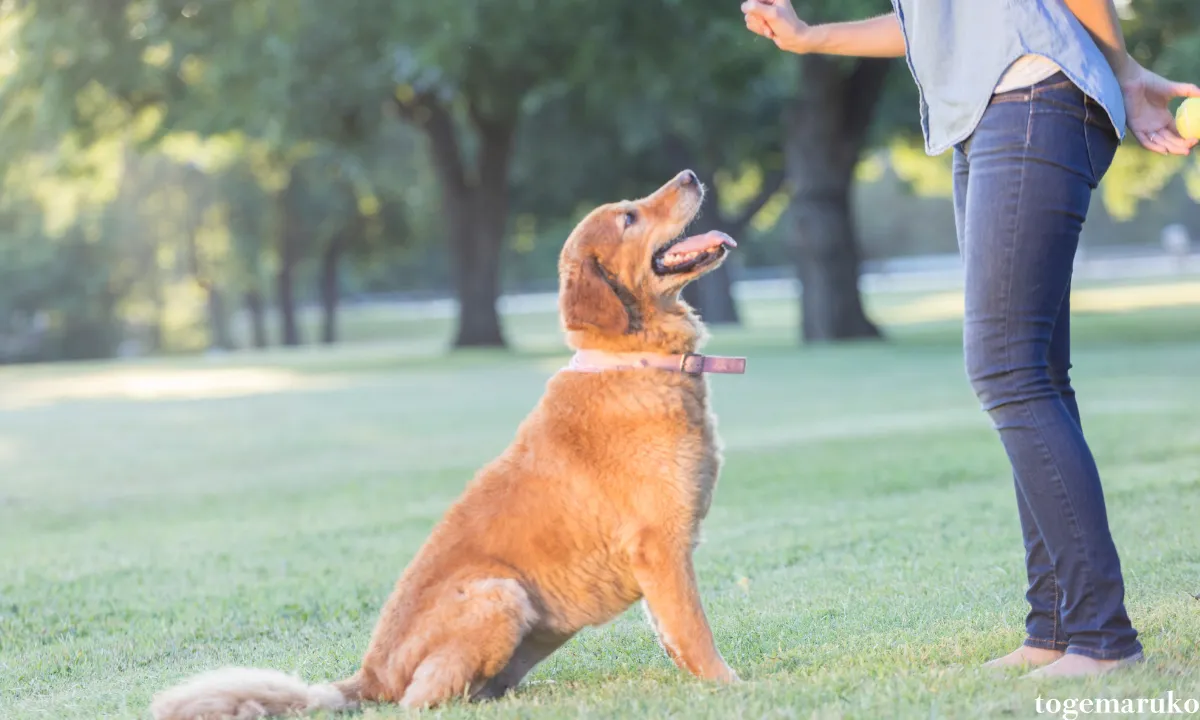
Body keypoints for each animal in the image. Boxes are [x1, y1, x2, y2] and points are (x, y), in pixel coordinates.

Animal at [151, 171, 744, 715]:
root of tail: (369, 676)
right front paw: (730, 686)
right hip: (500, 593)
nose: (691, 174)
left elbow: (672, 633)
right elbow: (695, 630)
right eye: (629, 217)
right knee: (421, 700)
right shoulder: (658, 546)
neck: (634, 359)